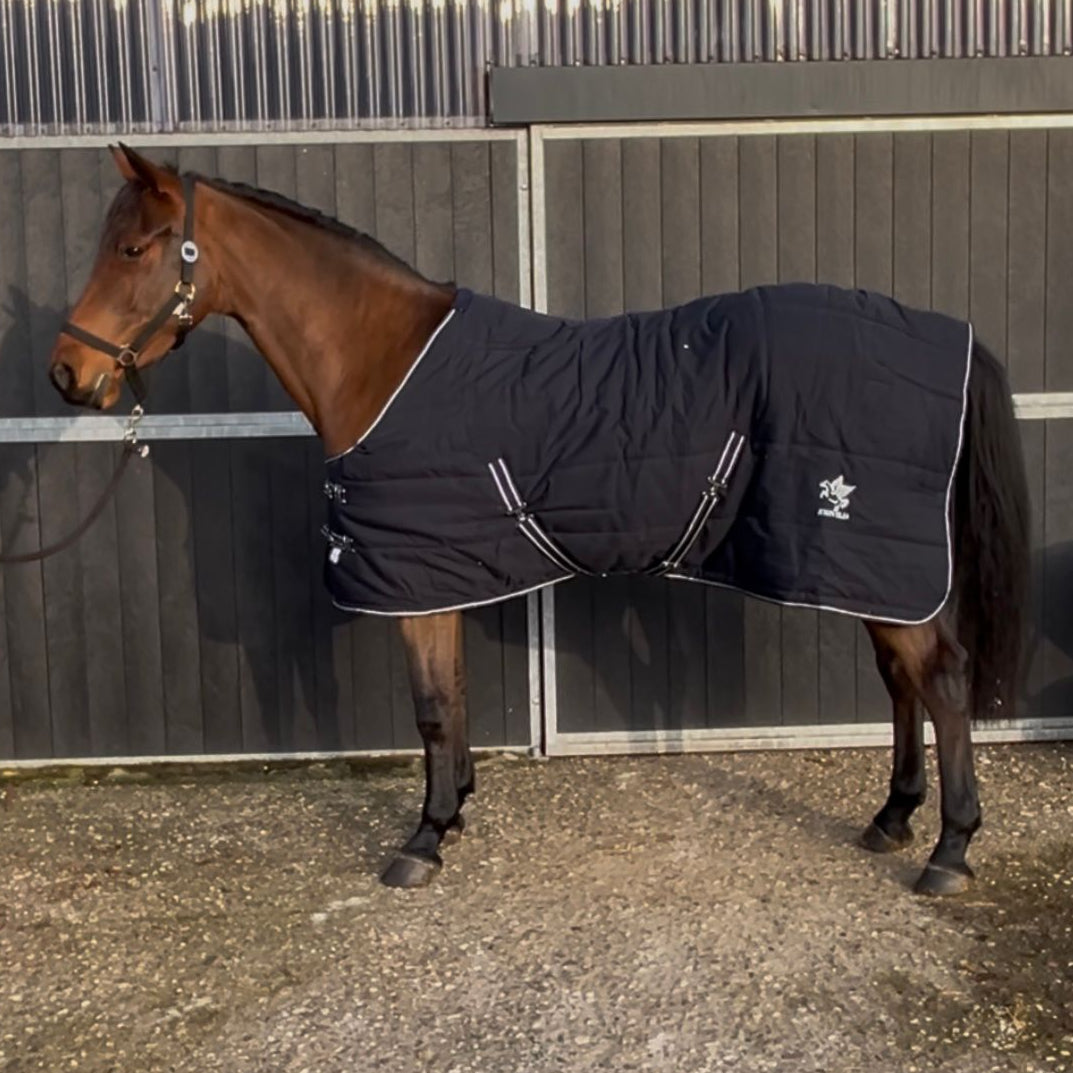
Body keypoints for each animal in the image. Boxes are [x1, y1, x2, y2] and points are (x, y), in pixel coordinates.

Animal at [47, 144, 1030, 896]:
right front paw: (454, 811)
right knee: (901, 683)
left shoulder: (413, 577)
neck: (385, 364)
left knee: (939, 682)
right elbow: (454, 697)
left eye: (133, 248)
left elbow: (431, 709)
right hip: (863, 567)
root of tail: (946, 334)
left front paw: (423, 838)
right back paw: (891, 816)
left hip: (873, 557)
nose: (68, 373)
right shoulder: (439, 573)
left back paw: (948, 850)